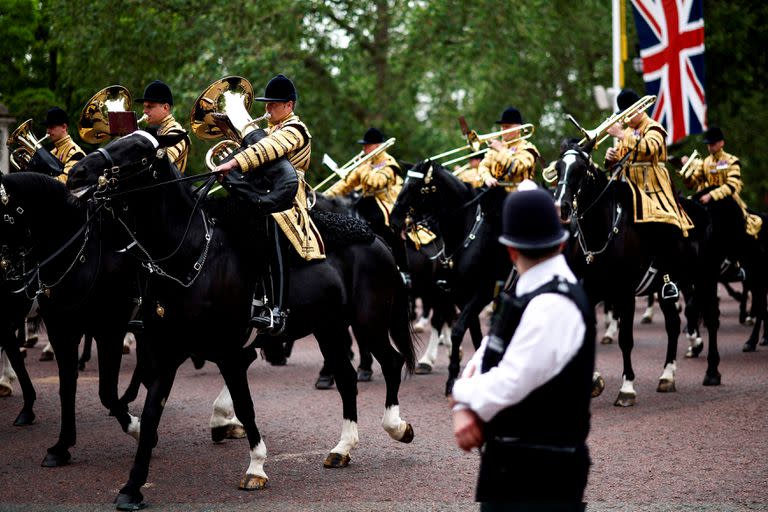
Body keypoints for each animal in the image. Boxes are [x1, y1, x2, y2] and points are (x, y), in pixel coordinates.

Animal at [69, 131, 416, 508]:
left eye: (139, 152)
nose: (77, 173)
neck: (189, 258)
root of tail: (376, 238)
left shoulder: (229, 353)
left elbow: (245, 406)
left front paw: (256, 468)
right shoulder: (167, 353)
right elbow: (149, 417)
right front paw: (132, 487)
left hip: (368, 323)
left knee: (392, 362)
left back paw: (397, 427)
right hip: (329, 328)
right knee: (346, 377)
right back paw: (342, 448)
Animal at [390, 160, 510, 396]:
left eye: (417, 187)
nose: (394, 220)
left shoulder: (481, 293)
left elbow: (457, 330)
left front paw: (452, 379)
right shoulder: (460, 295)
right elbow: (473, 333)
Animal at [552, 141, 720, 408]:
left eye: (580, 169)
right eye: (558, 167)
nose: (562, 208)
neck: (602, 232)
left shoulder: (625, 294)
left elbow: (625, 340)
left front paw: (627, 388)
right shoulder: (590, 291)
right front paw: (594, 381)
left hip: (706, 278)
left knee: (711, 319)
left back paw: (712, 371)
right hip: (667, 288)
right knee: (673, 325)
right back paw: (667, 376)